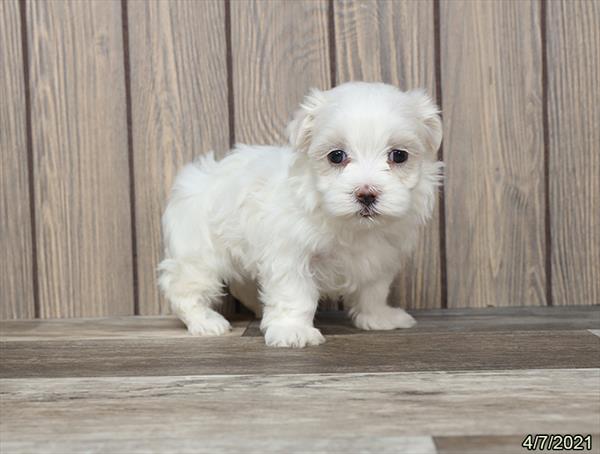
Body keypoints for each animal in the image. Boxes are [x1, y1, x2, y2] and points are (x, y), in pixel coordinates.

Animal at [158, 81, 440, 348]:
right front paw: (292, 330)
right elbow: (294, 294)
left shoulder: (380, 257)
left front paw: (379, 317)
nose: (366, 193)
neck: (351, 226)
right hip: (198, 253)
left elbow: (373, 290)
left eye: (399, 155)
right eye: (336, 156)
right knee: (184, 287)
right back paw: (205, 322)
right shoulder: (290, 255)